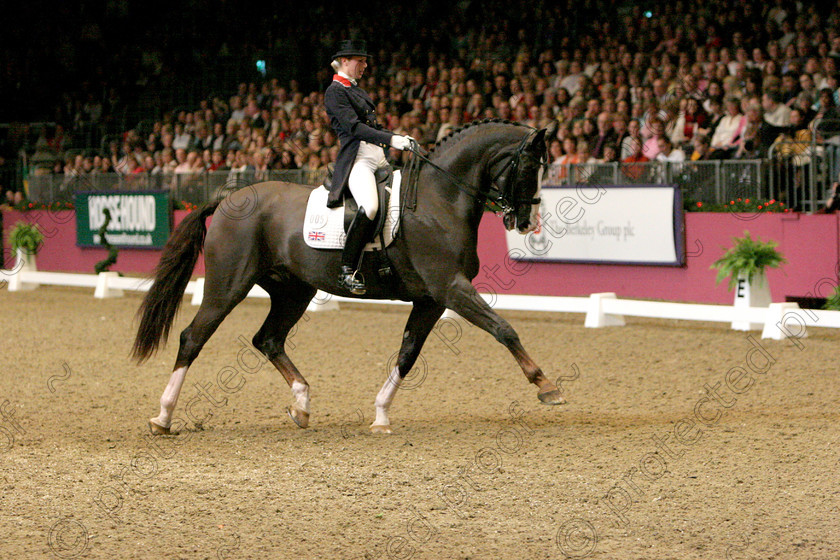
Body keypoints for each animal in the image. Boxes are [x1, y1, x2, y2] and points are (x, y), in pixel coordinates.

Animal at [133, 118, 564, 436]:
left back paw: (302, 406)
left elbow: (407, 354)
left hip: (294, 291)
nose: (527, 223)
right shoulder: (451, 288)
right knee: (193, 337)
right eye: (530, 167)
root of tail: (228, 199)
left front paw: (381, 414)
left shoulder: (431, 299)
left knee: (268, 339)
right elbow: (503, 328)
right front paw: (547, 386)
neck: (439, 198)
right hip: (227, 286)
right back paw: (163, 417)